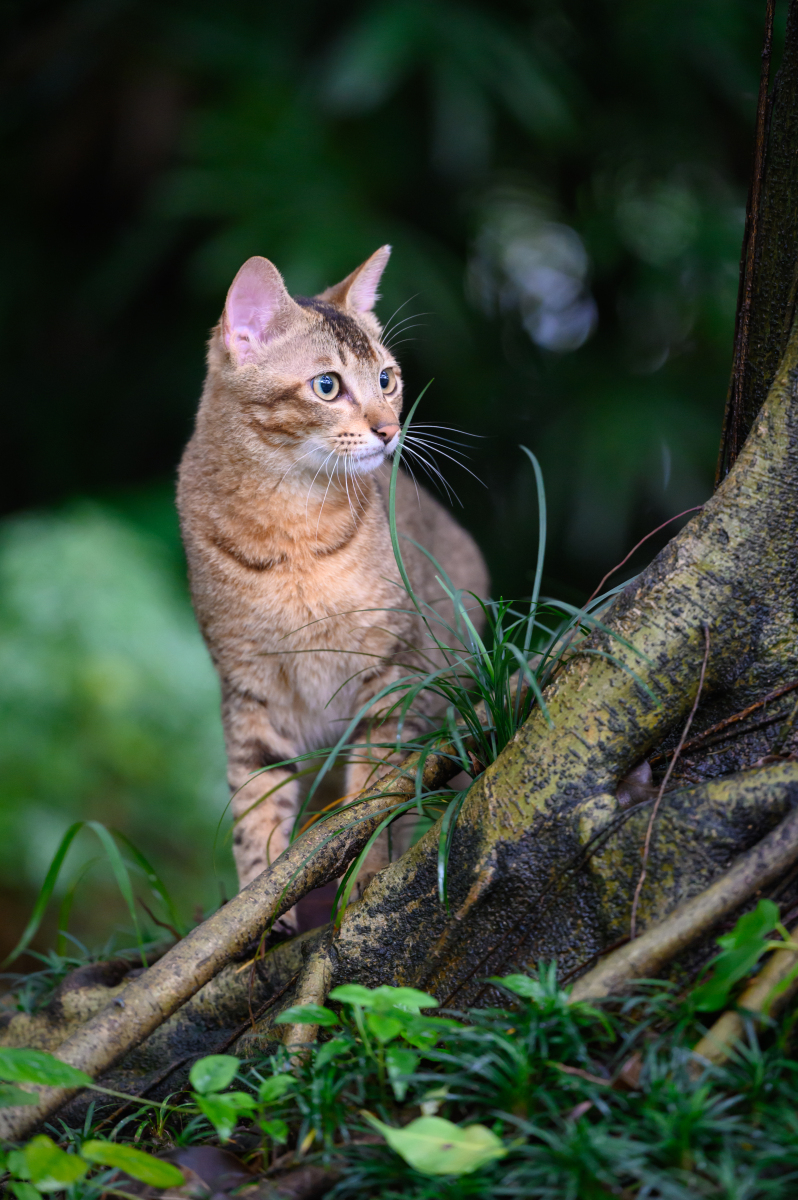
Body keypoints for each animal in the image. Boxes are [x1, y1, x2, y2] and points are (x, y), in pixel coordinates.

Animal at [177, 246, 489, 902]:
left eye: (387, 379)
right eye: (327, 386)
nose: (390, 430)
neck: (290, 534)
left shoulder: (394, 674)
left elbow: (376, 796)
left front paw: (368, 878)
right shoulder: (248, 693)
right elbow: (255, 819)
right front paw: (260, 914)